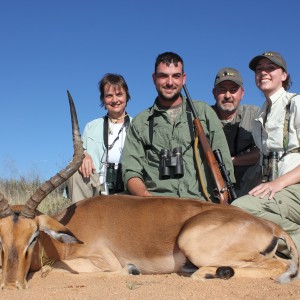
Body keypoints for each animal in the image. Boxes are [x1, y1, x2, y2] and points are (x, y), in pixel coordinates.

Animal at [0, 93, 298, 288]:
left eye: (33, 237)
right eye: (1, 239)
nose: (12, 285)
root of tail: (269, 226)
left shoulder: (101, 262)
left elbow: (56, 271)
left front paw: (131, 271)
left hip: (193, 243)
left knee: (280, 266)